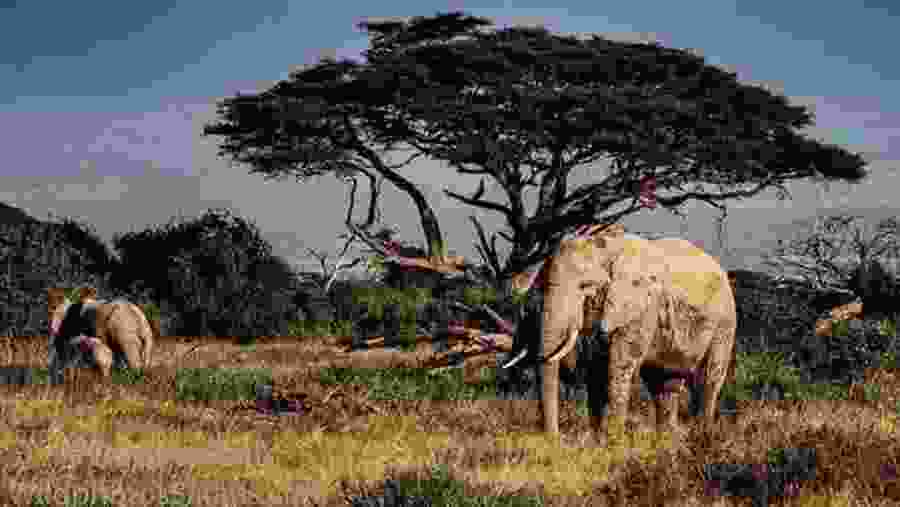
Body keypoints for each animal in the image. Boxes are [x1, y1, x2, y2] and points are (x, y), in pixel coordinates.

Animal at [502, 225, 737, 438]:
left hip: (725, 321)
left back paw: (702, 436)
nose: (555, 439)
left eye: (585, 286)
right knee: (664, 383)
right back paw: (666, 441)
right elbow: (596, 369)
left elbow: (619, 365)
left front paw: (614, 441)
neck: (605, 248)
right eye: (543, 287)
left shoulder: (641, 308)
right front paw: (597, 441)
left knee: (709, 378)